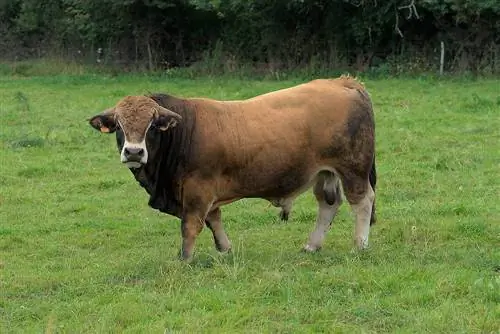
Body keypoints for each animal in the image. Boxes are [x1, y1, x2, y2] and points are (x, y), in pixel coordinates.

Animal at [90, 75, 376, 260]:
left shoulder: (197, 189)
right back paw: (312, 245)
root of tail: (343, 82)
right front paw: (225, 249)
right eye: (118, 125)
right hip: (325, 172)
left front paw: (185, 258)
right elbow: (214, 219)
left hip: (353, 169)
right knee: (328, 204)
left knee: (362, 201)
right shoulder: (206, 191)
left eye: (152, 125)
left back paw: (360, 245)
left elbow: (191, 225)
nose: (134, 152)